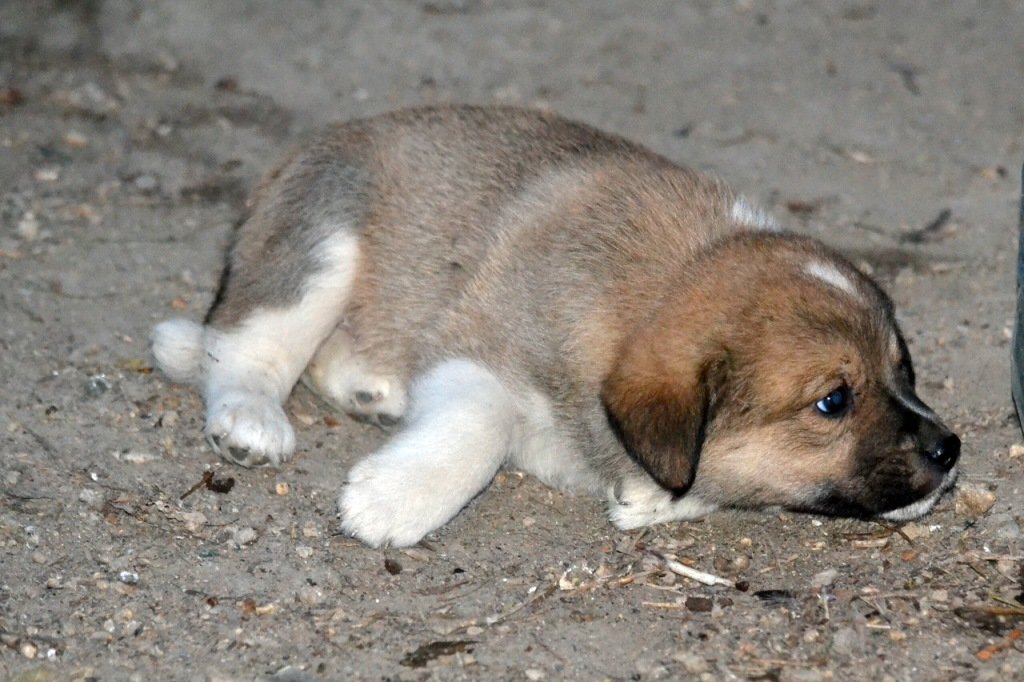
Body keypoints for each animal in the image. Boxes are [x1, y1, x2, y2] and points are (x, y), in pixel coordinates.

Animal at [149, 102, 958, 548]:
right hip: (324, 244)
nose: (950, 450)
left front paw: (654, 499)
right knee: (242, 345)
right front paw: (393, 499)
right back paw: (250, 418)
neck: (658, 286)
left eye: (905, 370)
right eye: (833, 402)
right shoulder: (477, 352)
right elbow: (481, 426)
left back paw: (366, 391)